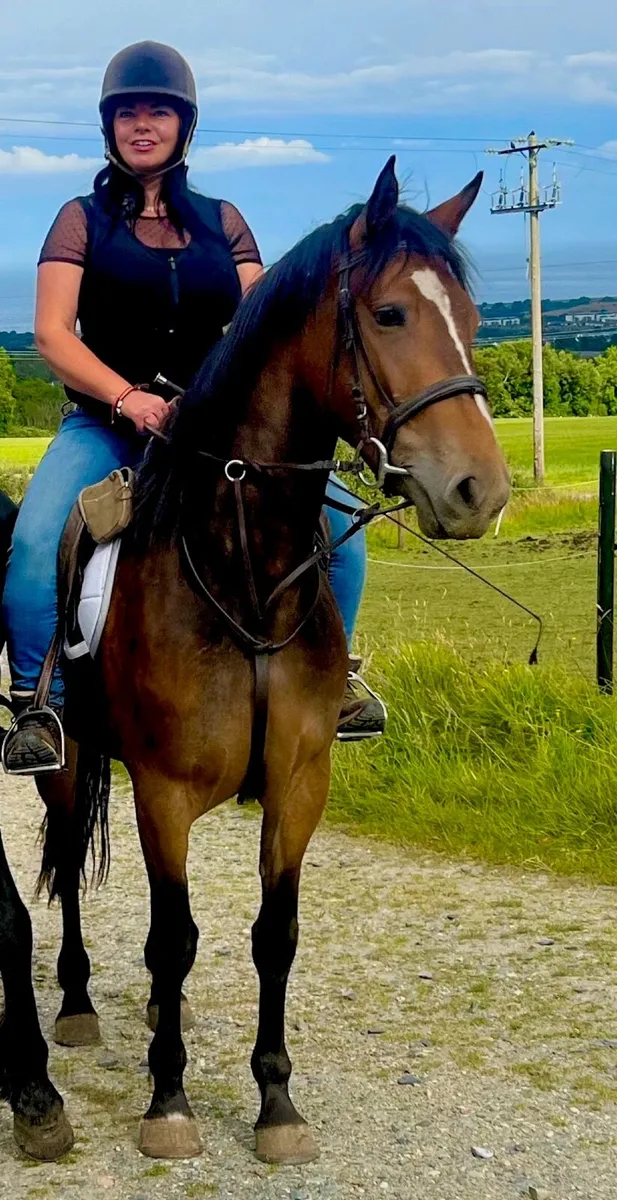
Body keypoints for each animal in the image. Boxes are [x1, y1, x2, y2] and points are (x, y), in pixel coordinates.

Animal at [25, 157, 509, 1163]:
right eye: (390, 314)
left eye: (471, 320)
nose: (479, 491)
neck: (238, 570)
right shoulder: (163, 792)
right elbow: (172, 937)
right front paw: (169, 1101)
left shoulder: (298, 782)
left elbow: (272, 934)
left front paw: (276, 1103)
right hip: (69, 759)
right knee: (70, 862)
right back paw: (80, 1003)